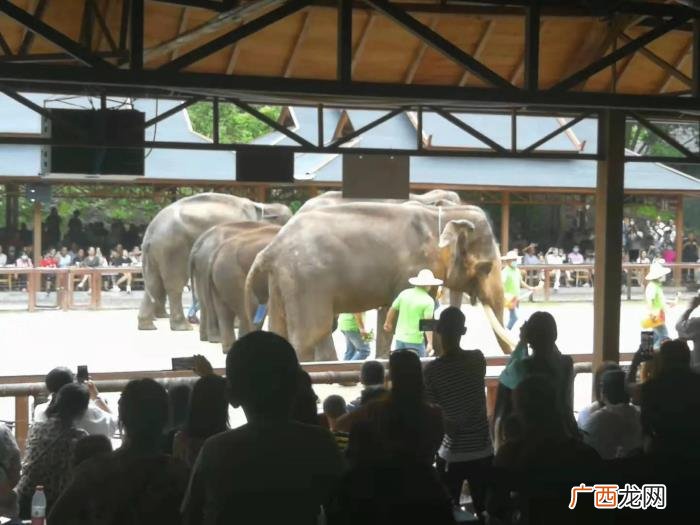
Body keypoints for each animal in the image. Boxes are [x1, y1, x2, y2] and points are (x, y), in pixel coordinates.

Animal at [138, 193, 292, 331]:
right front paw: (237, 324)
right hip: (173, 248)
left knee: (152, 282)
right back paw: (183, 326)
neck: (264, 206)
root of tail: (151, 230)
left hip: (157, 251)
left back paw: (147, 325)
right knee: (174, 284)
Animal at [245, 201, 513, 362]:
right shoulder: (415, 267)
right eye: (487, 267)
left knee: (280, 329)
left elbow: (389, 314)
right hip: (307, 281)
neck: (443, 214)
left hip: (281, 280)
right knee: (311, 332)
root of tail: (271, 249)